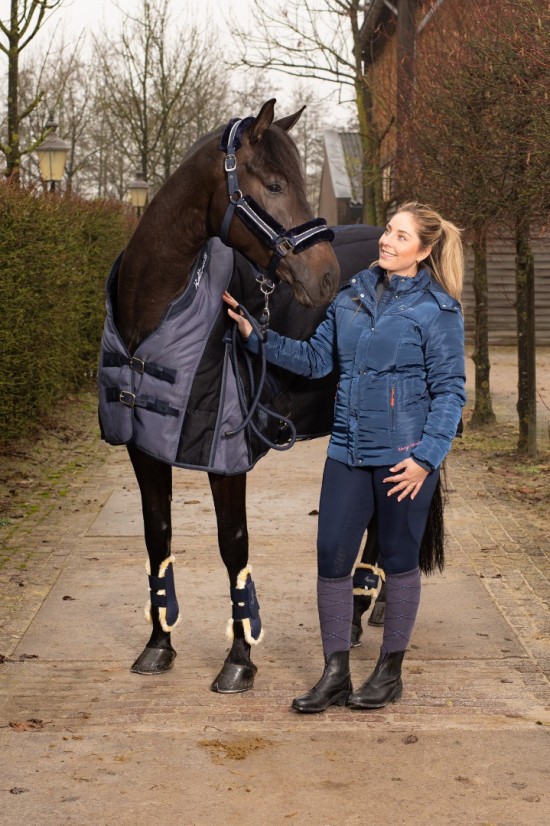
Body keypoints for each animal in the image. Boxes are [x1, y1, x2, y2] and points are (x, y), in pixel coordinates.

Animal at [98, 99, 341, 693]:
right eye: (274, 185)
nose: (326, 277)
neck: (152, 310)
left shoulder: (224, 455)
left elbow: (233, 544)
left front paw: (239, 659)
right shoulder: (143, 447)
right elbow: (157, 536)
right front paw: (158, 643)